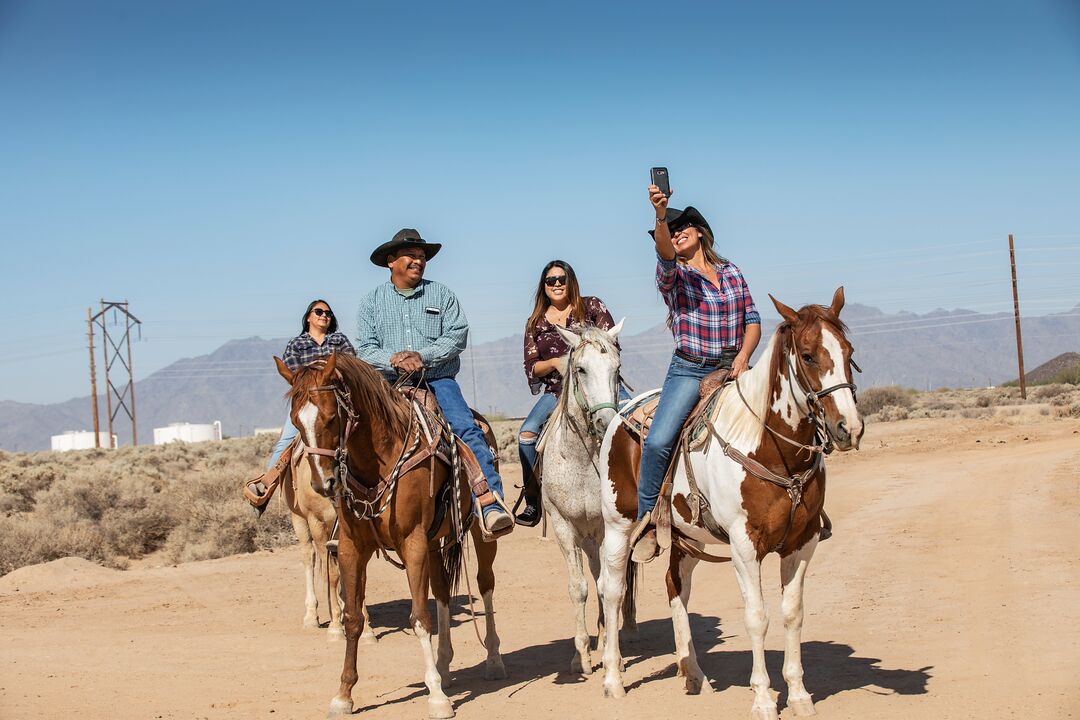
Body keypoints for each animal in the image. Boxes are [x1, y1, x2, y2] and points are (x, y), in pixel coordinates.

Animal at [274, 354, 501, 720]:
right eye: (296, 421)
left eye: (330, 417)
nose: (324, 484)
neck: (378, 463)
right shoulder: (352, 548)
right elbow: (353, 617)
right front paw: (343, 694)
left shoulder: (413, 543)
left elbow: (420, 618)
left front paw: (437, 698)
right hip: (434, 543)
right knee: (441, 592)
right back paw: (444, 664)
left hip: (480, 537)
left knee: (485, 584)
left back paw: (493, 660)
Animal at [535, 321, 630, 677]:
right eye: (580, 369)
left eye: (617, 370)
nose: (605, 422)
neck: (581, 459)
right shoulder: (564, 528)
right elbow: (579, 588)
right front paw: (582, 658)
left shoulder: (605, 527)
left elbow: (605, 586)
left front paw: (613, 655)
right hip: (585, 539)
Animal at [600, 289, 859, 720]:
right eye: (807, 355)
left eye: (849, 351)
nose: (849, 428)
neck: (769, 447)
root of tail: (621, 413)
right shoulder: (744, 546)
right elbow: (757, 616)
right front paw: (763, 698)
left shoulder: (802, 543)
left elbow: (792, 613)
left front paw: (799, 695)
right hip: (618, 528)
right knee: (613, 590)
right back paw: (612, 680)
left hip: (687, 538)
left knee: (676, 587)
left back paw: (693, 673)